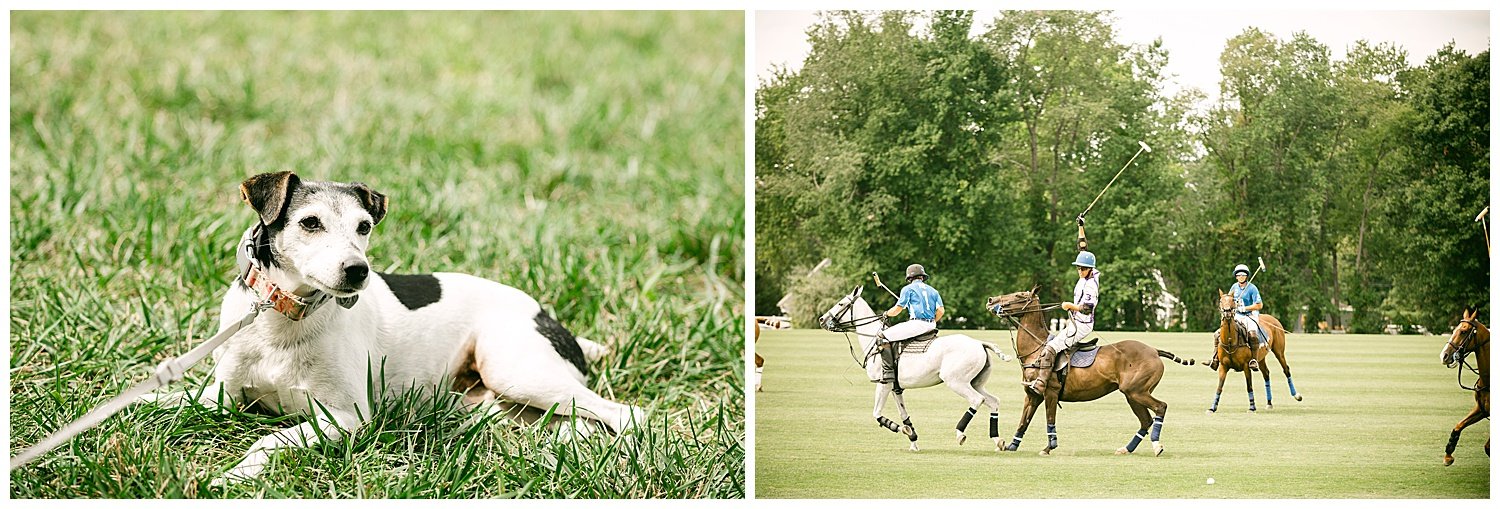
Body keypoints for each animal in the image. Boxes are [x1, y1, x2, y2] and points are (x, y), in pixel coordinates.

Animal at [133, 171, 639, 483]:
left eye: (364, 227)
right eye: (310, 223)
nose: (359, 271)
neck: (283, 318)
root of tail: (547, 317)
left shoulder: (344, 416)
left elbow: (271, 437)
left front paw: (236, 473)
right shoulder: (219, 396)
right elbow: (156, 401)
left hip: (515, 370)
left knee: (625, 414)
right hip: (492, 404)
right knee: (574, 420)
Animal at [816, 286, 1014, 450]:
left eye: (841, 303)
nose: (822, 319)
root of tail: (980, 343)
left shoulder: (883, 383)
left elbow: (876, 413)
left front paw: (902, 429)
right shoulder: (895, 387)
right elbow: (904, 413)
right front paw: (913, 440)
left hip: (956, 381)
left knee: (977, 400)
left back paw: (960, 434)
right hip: (976, 382)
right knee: (993, 401)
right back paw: (998, 440)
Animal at [984, 291, 1194, 459]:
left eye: (1019, 295)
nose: (991, 300)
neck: (1036, 349)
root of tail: (1154, 351)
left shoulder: (1050, 392)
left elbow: (1049, 420)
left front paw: (1048, 448)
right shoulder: (1032, 395)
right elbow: (1023, 421)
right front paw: (1010, 445)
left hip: (1136, 391)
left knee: (1161, 407)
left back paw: (1157, 446)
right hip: (1132, 394)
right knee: (1146, 420)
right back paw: (1126, 449)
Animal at [1440, 309, 1488, 468]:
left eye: (1463, 331)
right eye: (1454, 329)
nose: (1444, 356)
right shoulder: (1481, 409)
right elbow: (1458, 426)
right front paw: (1448, 456)